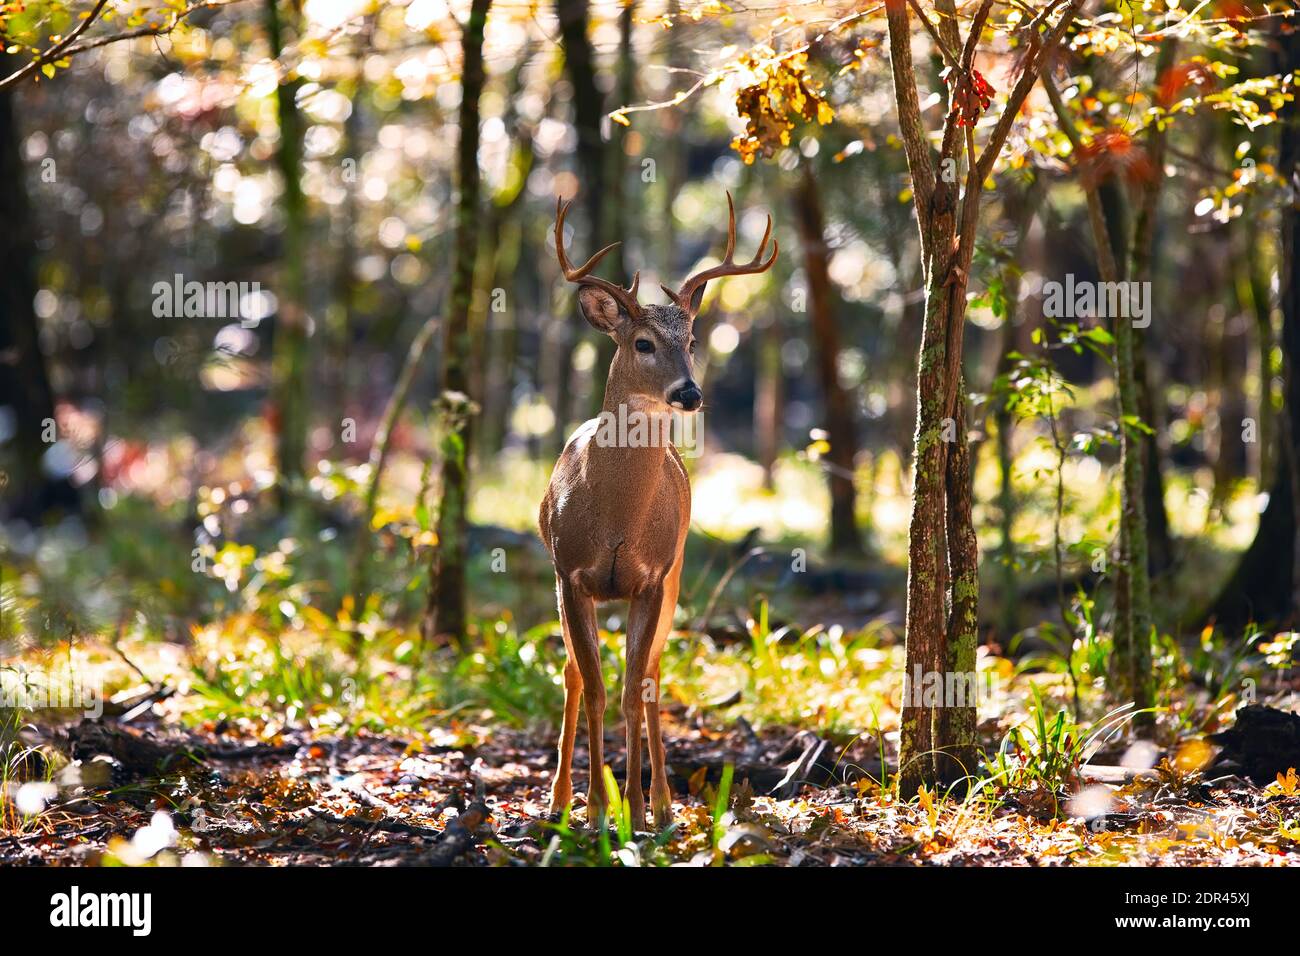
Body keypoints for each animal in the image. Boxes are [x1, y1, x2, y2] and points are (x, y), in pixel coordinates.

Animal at [540, 192, 778, 828]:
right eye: (642, 343)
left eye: (692, 341)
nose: (689, 393)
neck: (616, 518)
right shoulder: (569, 573)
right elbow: (595, 687)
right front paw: (596, 809)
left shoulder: (651, 576)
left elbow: (632, 689)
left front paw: (635, 809)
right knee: (572, 674)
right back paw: (559, 799)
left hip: (675, 575)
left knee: (650, 673)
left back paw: (664, 804)